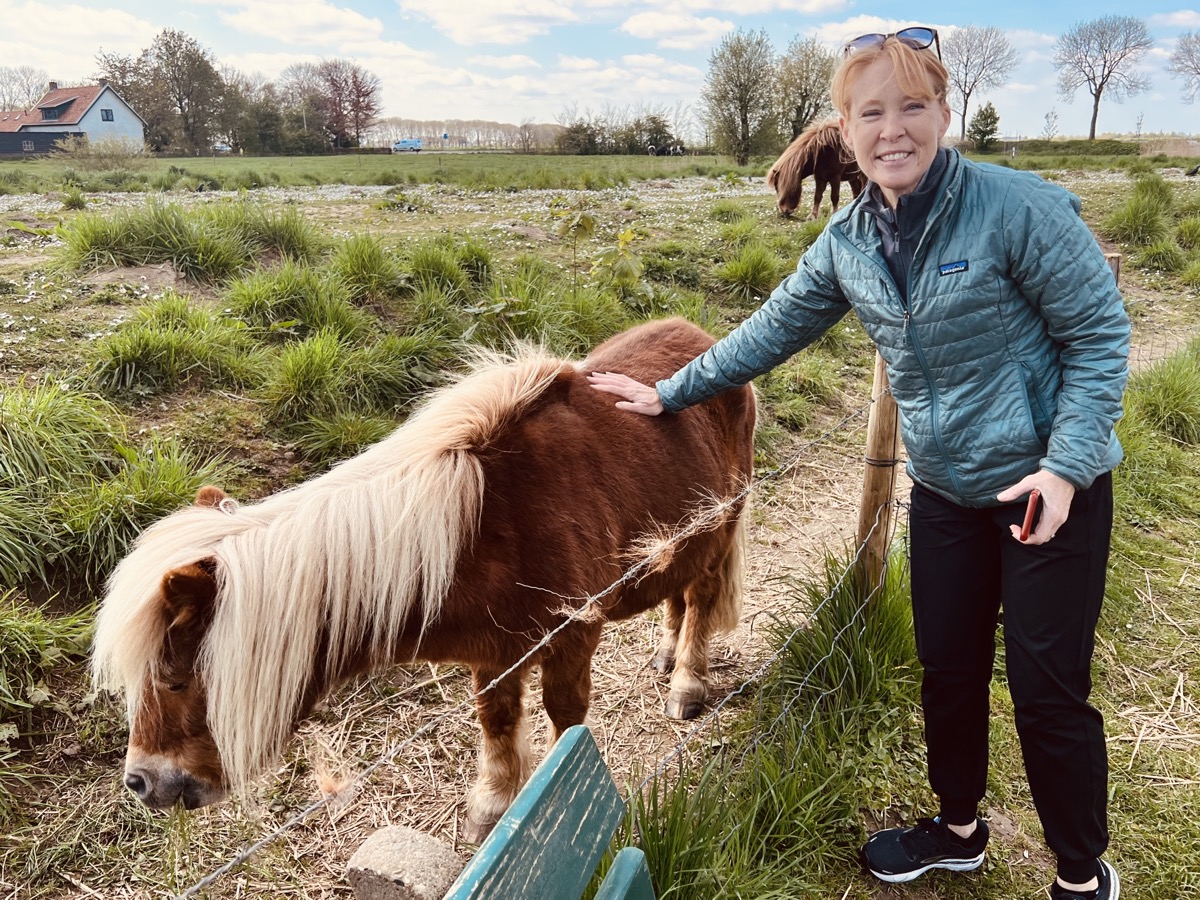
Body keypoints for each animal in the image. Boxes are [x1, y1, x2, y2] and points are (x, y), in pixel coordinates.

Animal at [93, 319, 753, 844]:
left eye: (175, 680)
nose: (140, 782)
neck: (485, 525)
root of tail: (699, 334)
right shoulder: (497, 653)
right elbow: (496, 721)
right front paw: (492, 808)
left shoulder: (569, 638)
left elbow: (564, 720)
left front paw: (564, 789)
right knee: (677, 592)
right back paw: (666, 654)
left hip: (723, 527)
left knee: (700, 599)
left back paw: (687, 683)